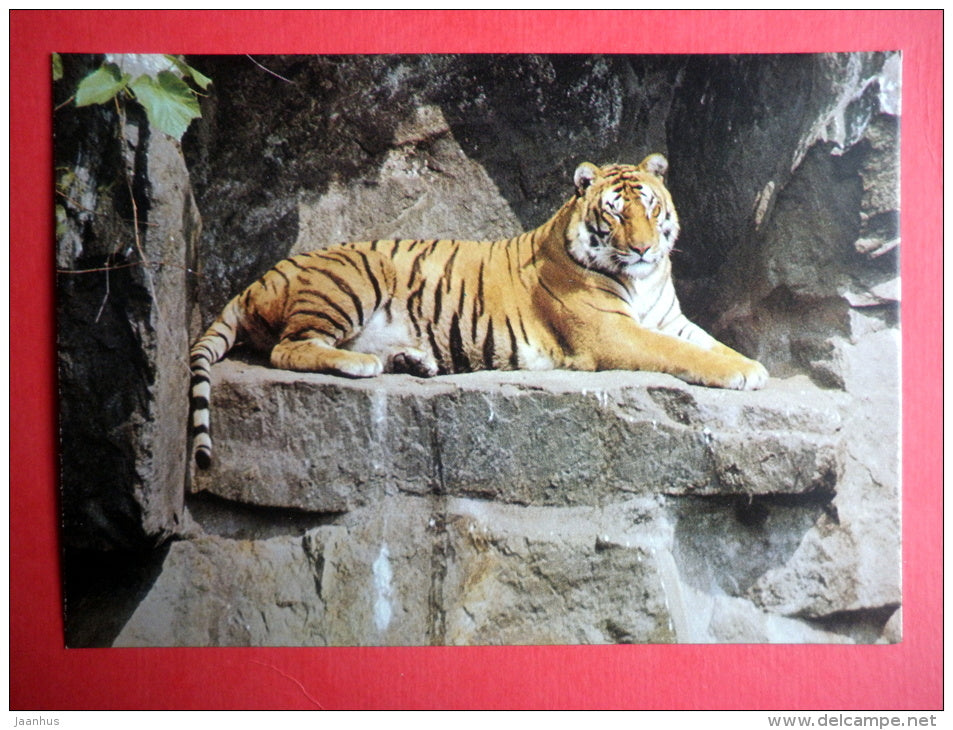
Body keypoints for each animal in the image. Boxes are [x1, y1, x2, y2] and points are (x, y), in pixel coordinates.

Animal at [190, 153, 768, 468]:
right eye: (614, 214)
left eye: (650, 207)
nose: (645, 249)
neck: (644, 282)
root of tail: (259, 278)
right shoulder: (612, 334)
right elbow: (681, 353)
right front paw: (740, 373)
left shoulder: (671, 319)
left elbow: (708, 342)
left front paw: (752, 364)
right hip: (350, 282)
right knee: (290, 348)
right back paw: (362, 365)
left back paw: (415, 361)